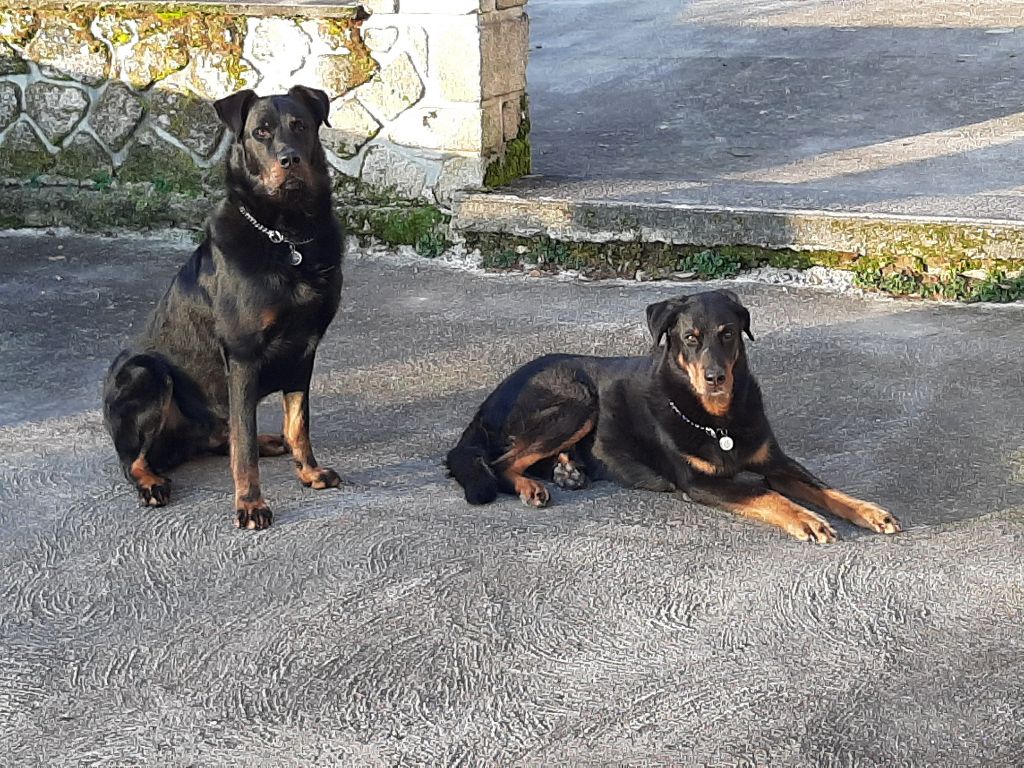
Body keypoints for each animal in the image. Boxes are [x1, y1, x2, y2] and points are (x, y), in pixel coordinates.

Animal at [103, 83, 344, 528]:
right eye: (261, 132)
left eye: (300, 126)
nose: (290, 159)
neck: (285, 235)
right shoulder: (243, 355)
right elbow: (243, 449)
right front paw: (250, 504)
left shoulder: (305, 350)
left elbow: (298, 424)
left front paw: (310, 472)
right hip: (145, 373)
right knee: (134, 461)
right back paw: (151, 482)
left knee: (226, 435)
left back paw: (270, 441)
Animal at [444, 290, 901, 544]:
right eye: (690, 338)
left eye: (728, 334)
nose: (716, 378)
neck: (717, 420)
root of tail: (489, 400)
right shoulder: (699, 482)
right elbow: (767, 495)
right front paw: (807, 520)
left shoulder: (776, 462)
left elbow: (824, 488)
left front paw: (868, 511)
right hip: (578, 400)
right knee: (501, 462)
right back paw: (531, 486)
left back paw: (568, 471)